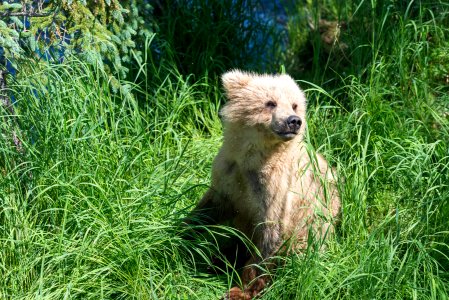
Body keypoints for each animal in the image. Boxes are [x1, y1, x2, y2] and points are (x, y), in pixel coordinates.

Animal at [186, 70, 340, 300]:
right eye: (270, 102)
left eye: (294, 105)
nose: (294, 121)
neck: (253, 158)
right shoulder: (228, 178)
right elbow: (208, 209)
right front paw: (179, 232)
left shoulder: (276, 189)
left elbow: (271, 235)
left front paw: (241, 289)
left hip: (314, 228)